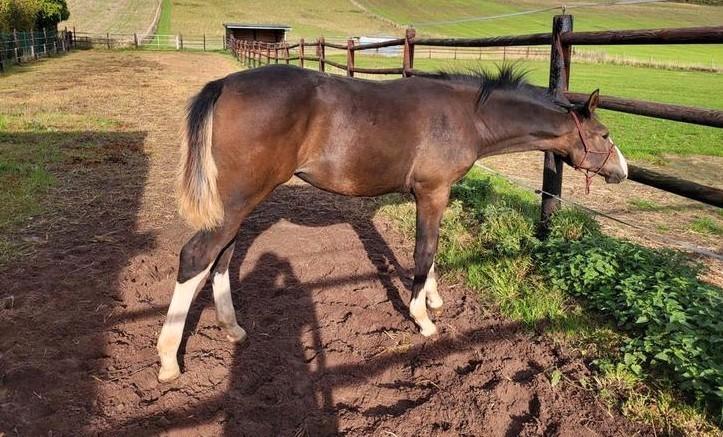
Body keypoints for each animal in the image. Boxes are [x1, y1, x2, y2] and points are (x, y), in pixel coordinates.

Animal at [156, 64, 628, 382]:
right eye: (605, 135)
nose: (622, 171)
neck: (465, 115)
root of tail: (223, 85)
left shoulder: (433, 195)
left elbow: (432, 250)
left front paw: (433, 299)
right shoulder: (433, 192)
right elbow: (425, 250)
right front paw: (423, 319)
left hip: (237, 204)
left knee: (222, 257)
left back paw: (233, 329)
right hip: (239, 200)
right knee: (196, 255)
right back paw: (168, 360)